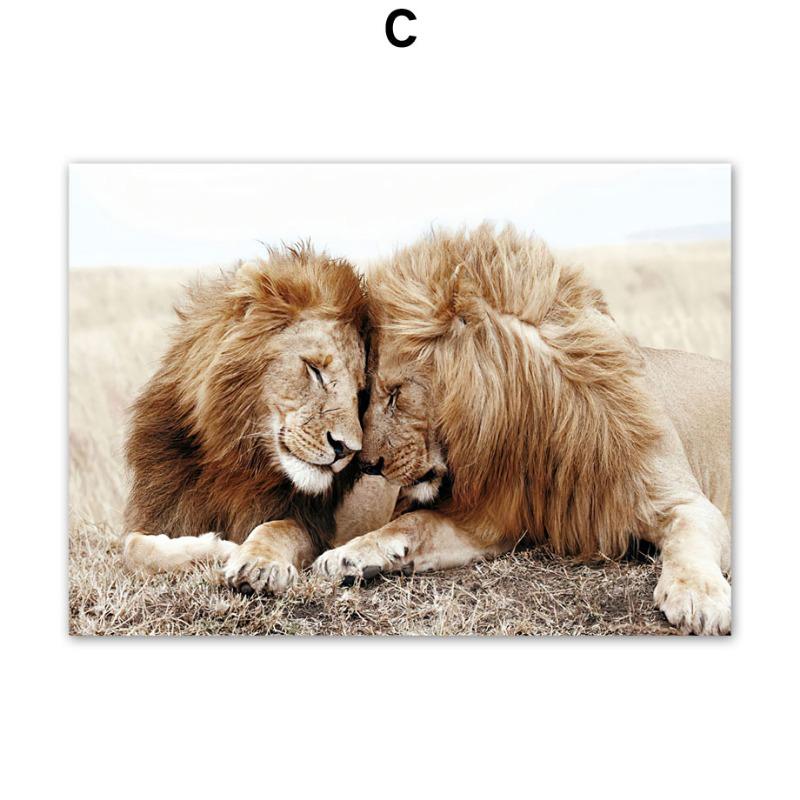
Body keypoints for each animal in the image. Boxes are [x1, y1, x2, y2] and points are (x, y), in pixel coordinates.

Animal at [122, 243, 394, 594]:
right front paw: (218, 548)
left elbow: (276, 528)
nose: (346, 449)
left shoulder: (311, 525)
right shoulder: (159, 511)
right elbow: (133, 547)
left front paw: (257, 563)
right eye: (314, 369)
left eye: (360, 393)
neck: (236, 461)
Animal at [313, 225, 731, 635]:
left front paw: (698, 595)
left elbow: (690, 538)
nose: (367, 464)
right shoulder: (489, 520)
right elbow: (414, 522)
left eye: (396, 393)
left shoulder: (682, 500)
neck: (534, 425)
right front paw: (347, 554)